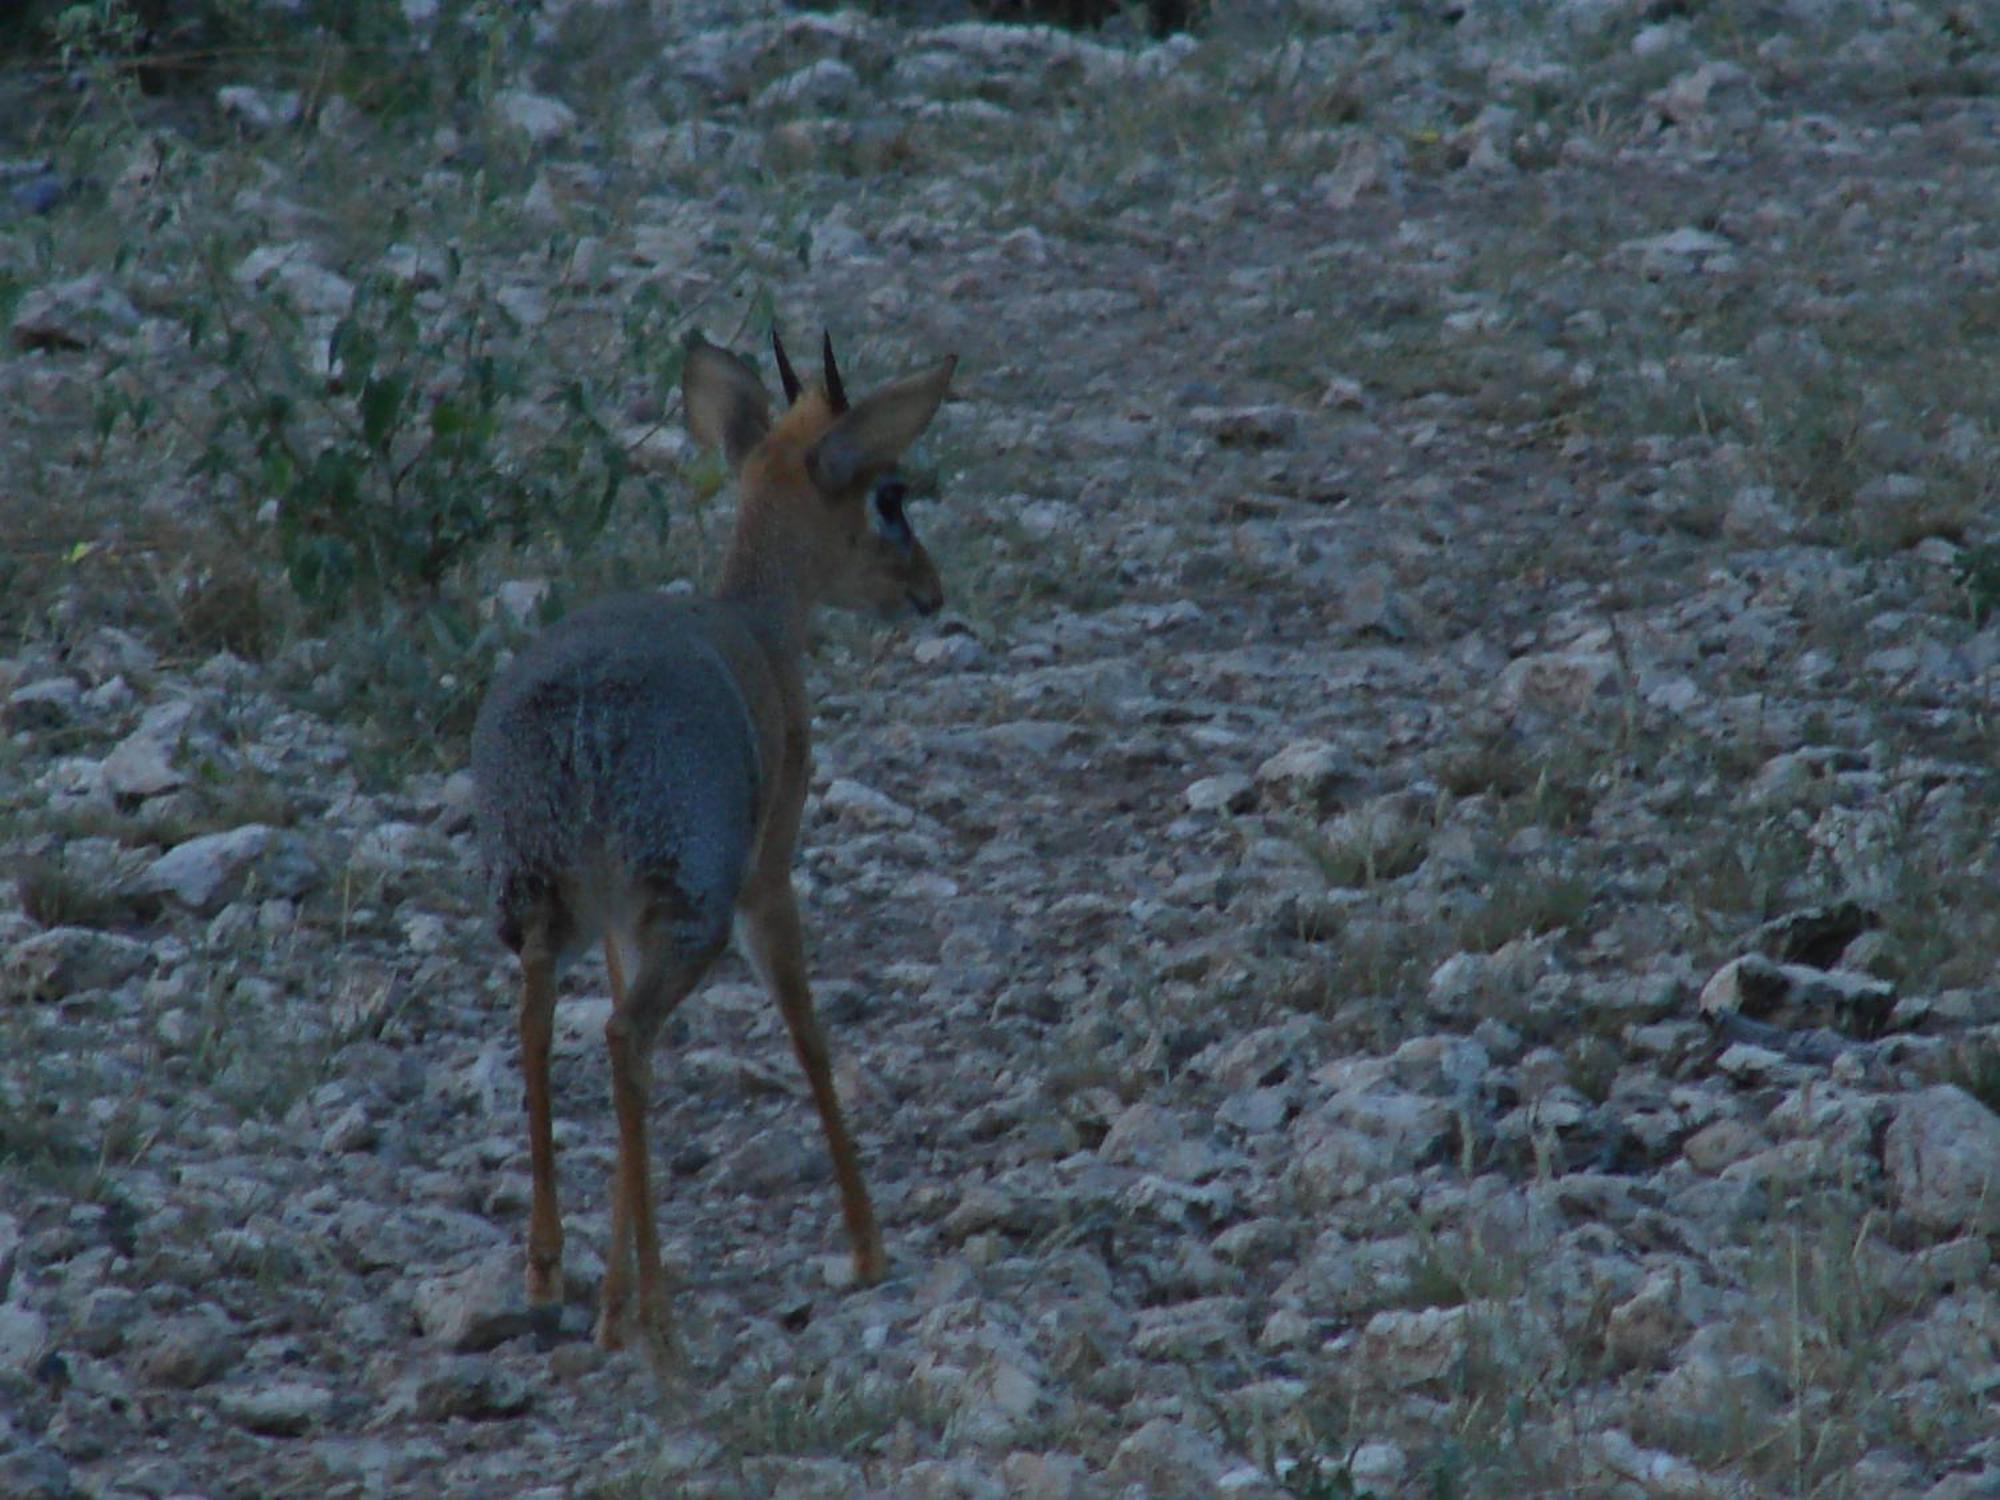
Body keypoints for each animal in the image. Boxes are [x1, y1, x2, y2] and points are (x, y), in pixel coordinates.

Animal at [468, 326, 952, 1352]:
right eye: (890, 497)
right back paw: (650, 1302)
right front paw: (867, 1247)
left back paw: (552, 1273)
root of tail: (584, 723)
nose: (930, 592)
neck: (758, 625)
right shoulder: (767, 873)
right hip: (695, 906)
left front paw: (608, 1289)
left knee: (549, 1024)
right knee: (625, 1034)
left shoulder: (623, 920)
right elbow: (808, 1028)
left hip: (544, 899)